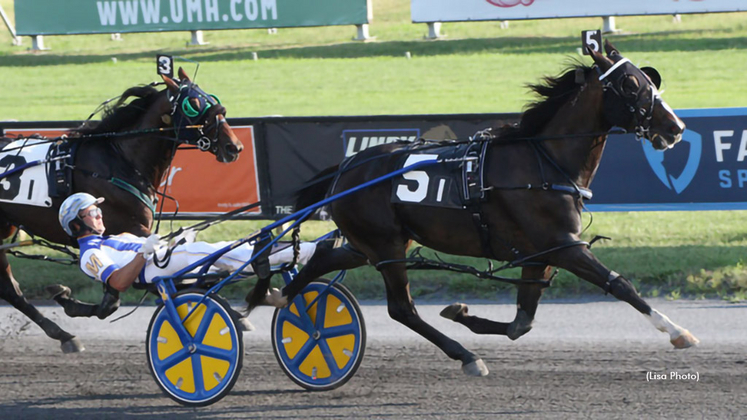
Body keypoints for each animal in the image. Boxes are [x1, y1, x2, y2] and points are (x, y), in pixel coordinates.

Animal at [0, 67, 243, 352]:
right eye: (192, 104)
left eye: (210, 97)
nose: (234, 146)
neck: (120, 160)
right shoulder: (128, 228)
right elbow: (122, 294)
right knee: (11, 290)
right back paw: (63, 334)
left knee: (10, 289)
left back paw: (61, 333)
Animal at [248, 42, 700, 376]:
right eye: (630, 84)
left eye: (649, 78)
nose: (675, 127)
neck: (541, 161)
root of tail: (345, 167)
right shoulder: (564, 246)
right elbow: (621, 285)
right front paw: (678, 331)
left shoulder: (540, 253)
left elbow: (520, 323)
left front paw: (460, 311)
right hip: (385, 246)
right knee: (401, 308)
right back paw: (466, 356)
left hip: (372, 244)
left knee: (322, 259)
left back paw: (266, 299)